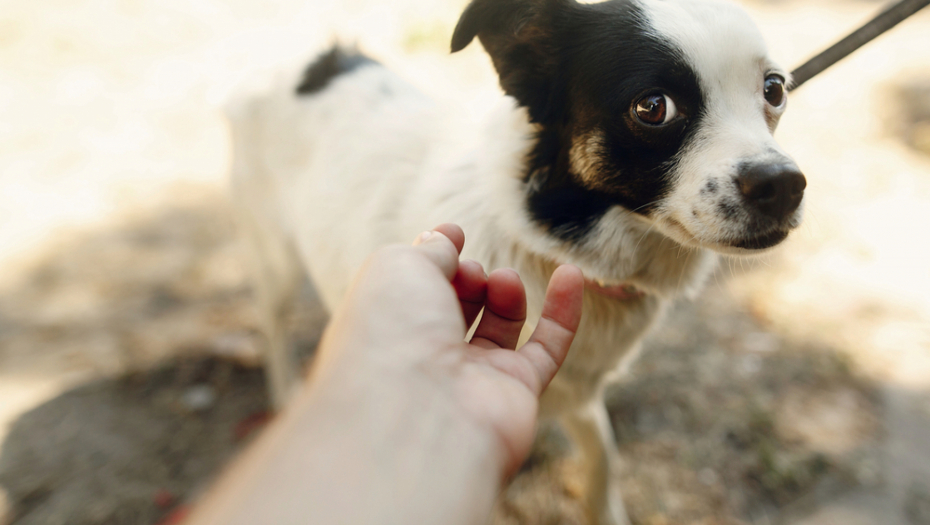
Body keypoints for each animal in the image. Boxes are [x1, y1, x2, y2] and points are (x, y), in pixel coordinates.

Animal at [227, 0, 804, 520]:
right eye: (652, 107)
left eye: (774, 89)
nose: (784, 186)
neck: (554, 246)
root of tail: (309, 61)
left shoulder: (577, 395)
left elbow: (602, 461)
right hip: (273, 258)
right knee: (272, 326)